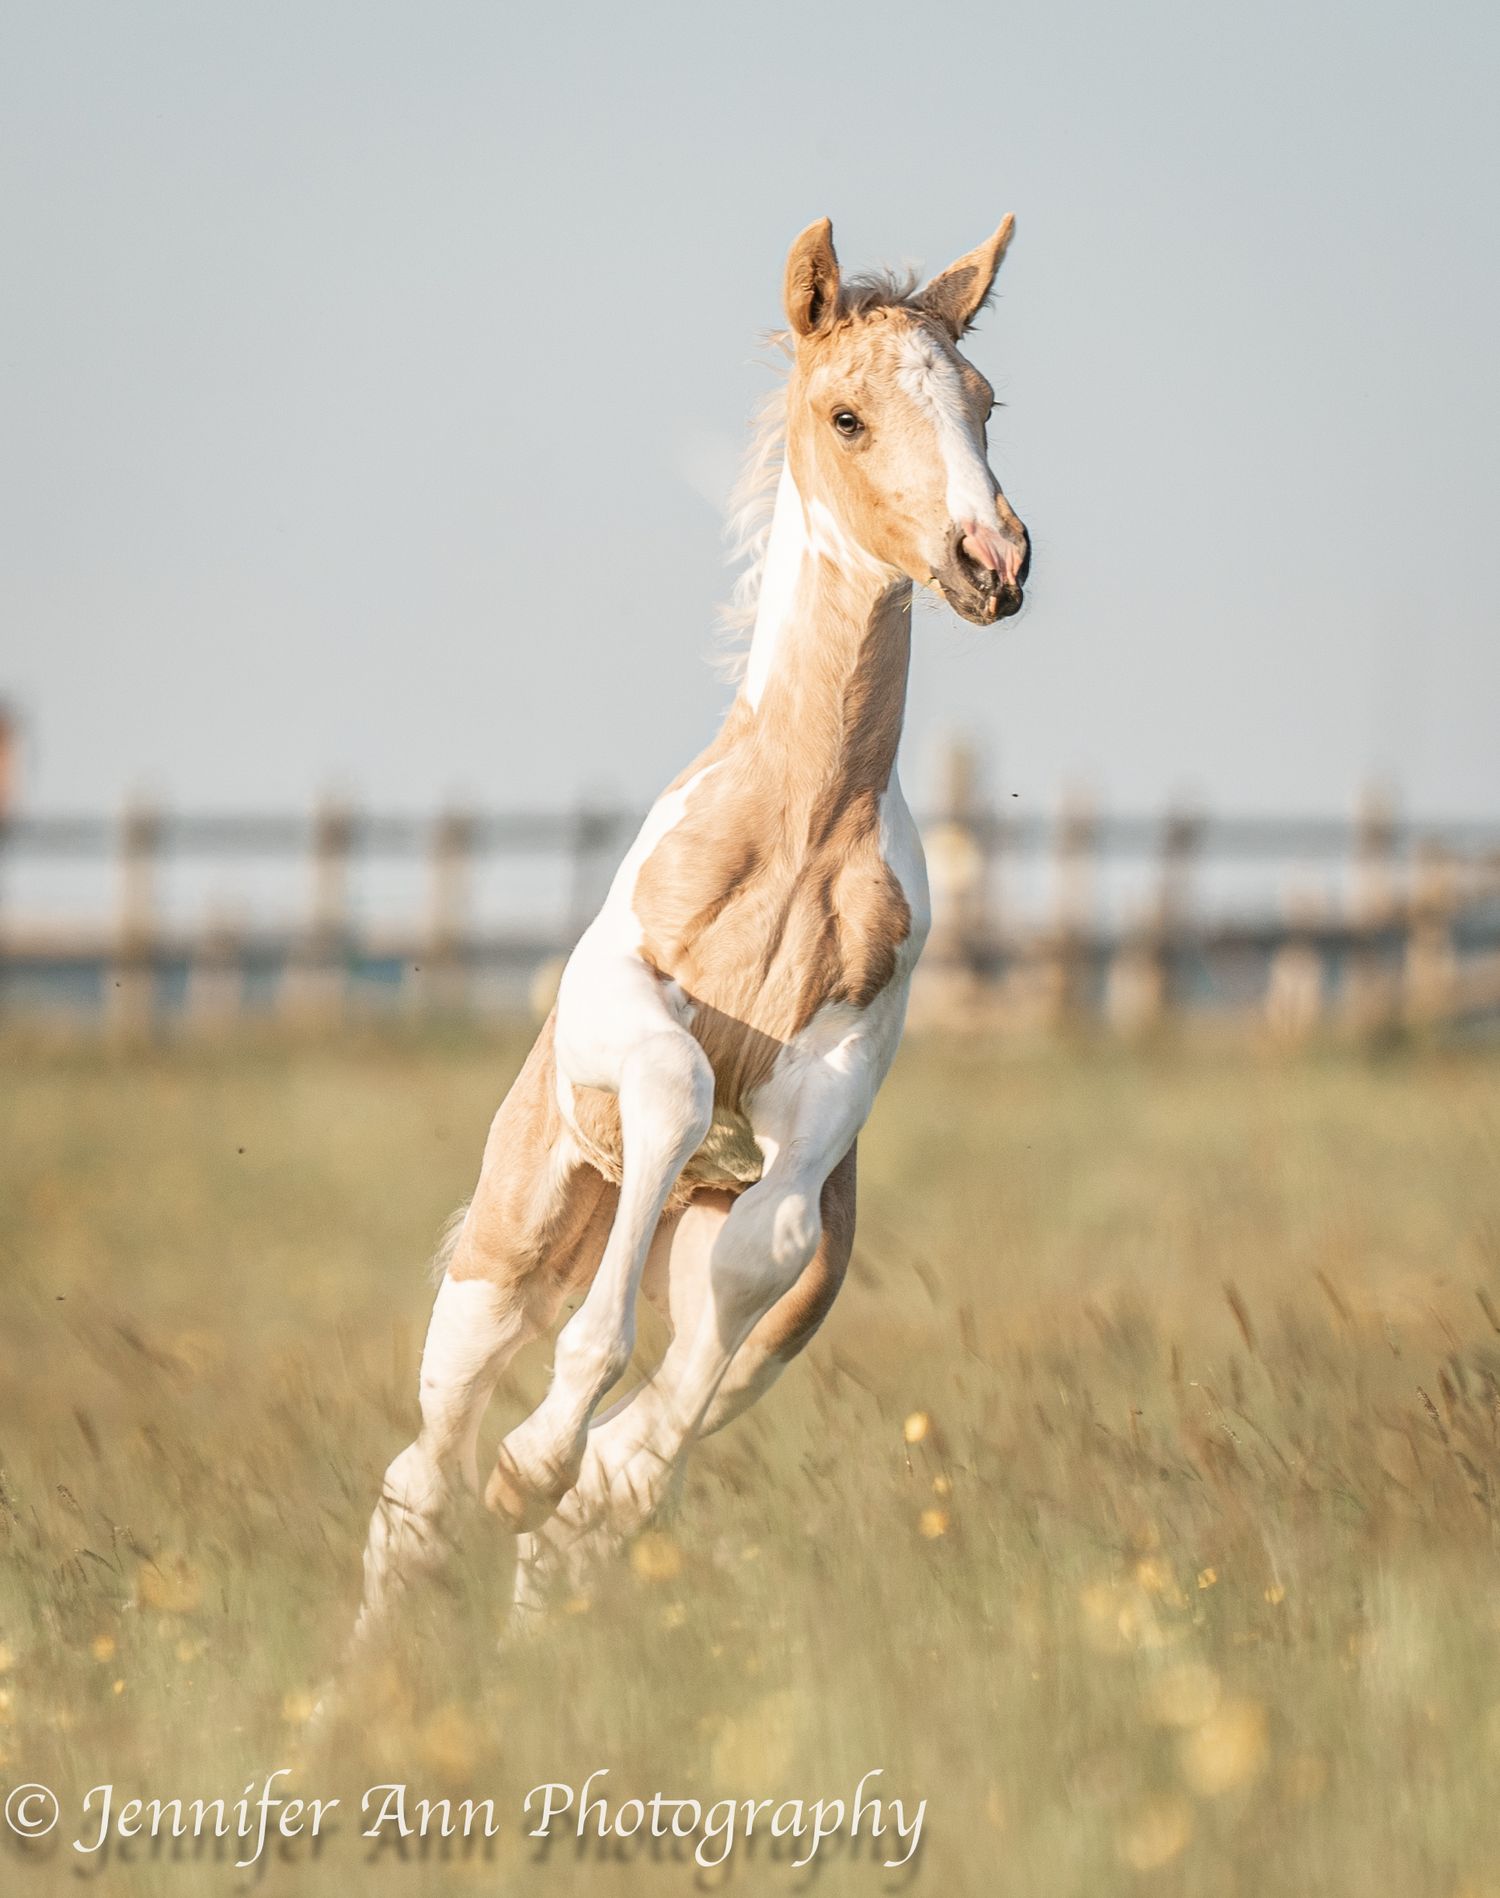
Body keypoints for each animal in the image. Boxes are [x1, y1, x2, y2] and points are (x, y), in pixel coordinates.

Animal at [352, 214, 1030, 1642]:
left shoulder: (835, 1086)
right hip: (512, 1240)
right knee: (420, 1475)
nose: (991, 561)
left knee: (614, 1465)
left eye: (985, 400)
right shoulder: (624, 998)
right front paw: (538, 1452)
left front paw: (564, 1465)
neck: (799, 831)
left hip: (756, 1307)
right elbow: (674, 1079)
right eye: (846, 414)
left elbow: (751, 1259)